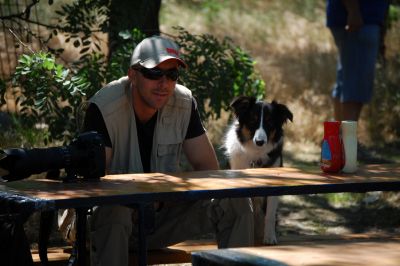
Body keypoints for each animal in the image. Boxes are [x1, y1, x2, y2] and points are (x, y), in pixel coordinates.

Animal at [222, 95, 294, 245]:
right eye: (252, 121)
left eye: (270, 122)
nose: (260, 142)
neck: (255, 153)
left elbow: (270, 215)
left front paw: (269, 237)